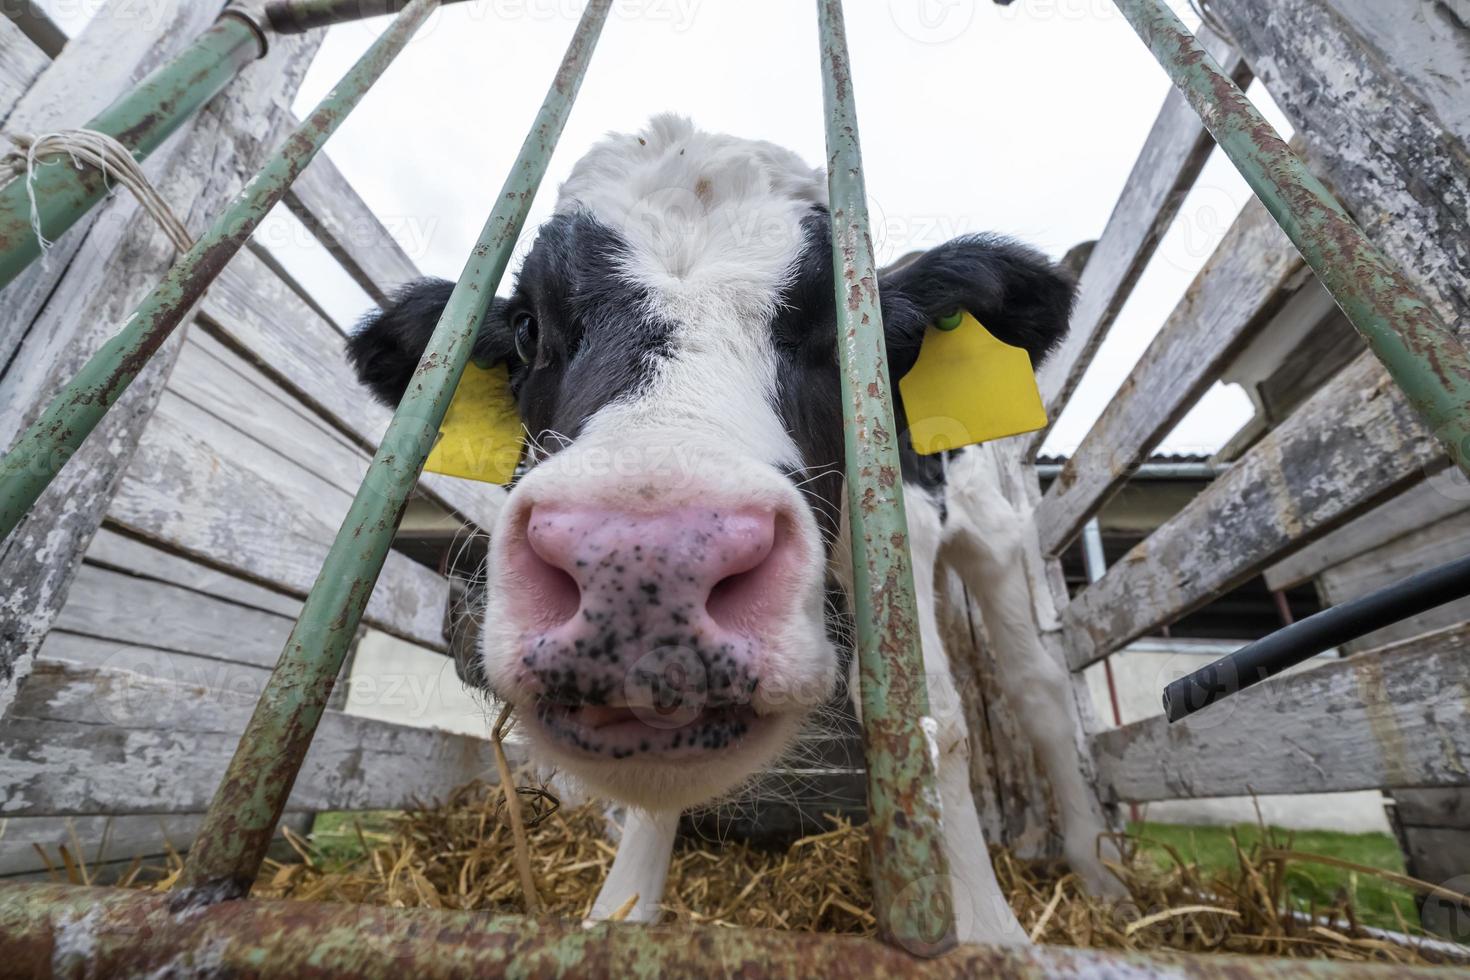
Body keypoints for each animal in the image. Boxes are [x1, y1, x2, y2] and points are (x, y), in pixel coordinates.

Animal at [349, 116, 1117, 952]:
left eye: (851, 336)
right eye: (526, 328)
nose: (642, 568)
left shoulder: (904, 533)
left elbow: (929, 713)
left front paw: (986, 928)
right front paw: (622, 910)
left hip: (989, 532)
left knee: (1038, 688)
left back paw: (1095, 863)